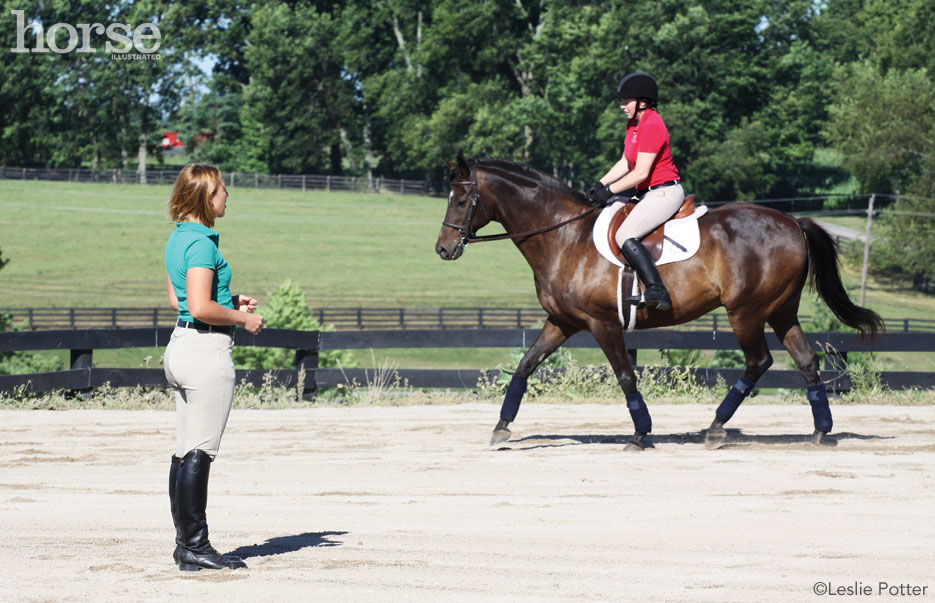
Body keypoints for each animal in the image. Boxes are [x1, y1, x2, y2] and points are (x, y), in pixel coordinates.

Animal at [434, 156, 884, 448]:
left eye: (462, 200)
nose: (443, 249)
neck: (564, 236)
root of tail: (792, 221)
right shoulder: (562, 322)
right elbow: (525, 368)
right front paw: (501, 427)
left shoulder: (602, 324)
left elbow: (625, 376)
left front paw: (640, 433)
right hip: (781, 311)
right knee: (806, 361)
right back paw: (820, 431)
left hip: (746, 312)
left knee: (759, 362)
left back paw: (716, 427)